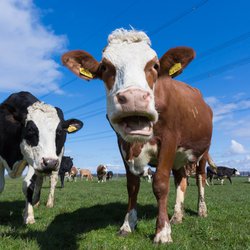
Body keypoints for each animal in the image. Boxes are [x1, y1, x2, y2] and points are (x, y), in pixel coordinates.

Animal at [0, 92, 83, 225]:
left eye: (59, 132)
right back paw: (36, 202)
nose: (50, 163)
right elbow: (1, 186)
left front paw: (29, 216)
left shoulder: (34, 161)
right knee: (39, 180)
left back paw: (48, 203)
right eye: (30, 129)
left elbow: (28, 185)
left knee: (52, 180)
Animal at [61, 28, 212, 243]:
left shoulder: (169, 140)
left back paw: (201, 210)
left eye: (155, 66)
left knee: (200, 178)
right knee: (181, 180)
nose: (134, 98)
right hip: (179, 158)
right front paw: (127, 225)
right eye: (105, 67)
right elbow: (132, 185)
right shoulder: (122, 142)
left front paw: (162, 232)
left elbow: (160, 183)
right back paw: (177, 216)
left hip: (203, 152)